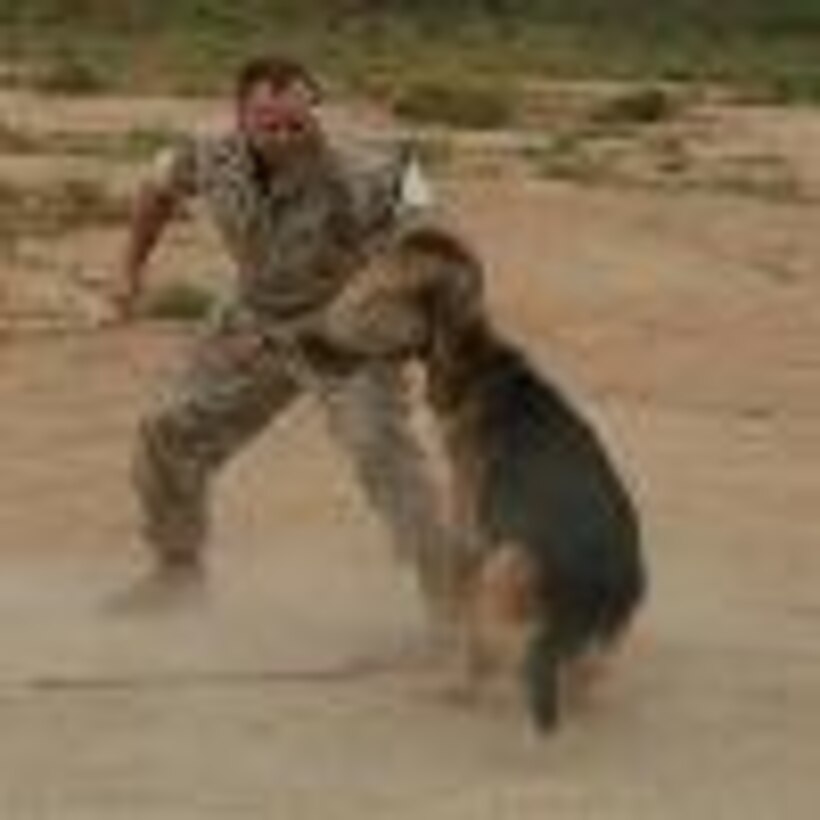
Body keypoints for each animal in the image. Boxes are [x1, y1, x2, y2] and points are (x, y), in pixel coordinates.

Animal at [306, 229, 648, 732]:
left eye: (376, 296)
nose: (302, 337)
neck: (477, 366)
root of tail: (603, 581)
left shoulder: (473, 533)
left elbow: (468, 617)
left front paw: (459, 678)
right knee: (582, 671)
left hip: (508, 562)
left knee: (510, 647)